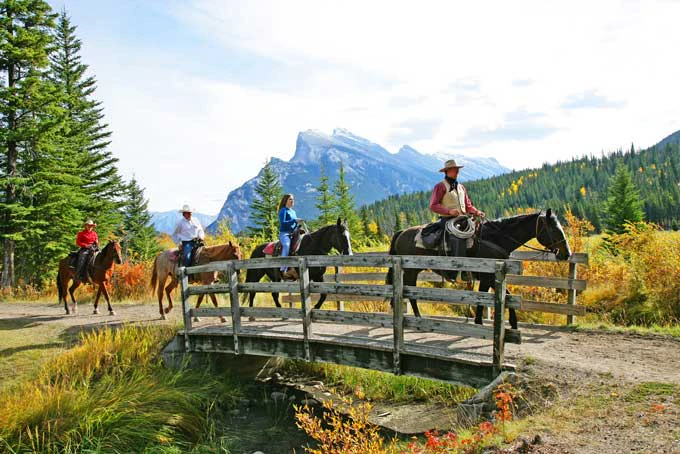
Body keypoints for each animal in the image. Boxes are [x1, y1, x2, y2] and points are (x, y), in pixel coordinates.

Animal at [386, 209, 572, 330]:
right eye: (554, 229)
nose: (567, 254)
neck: (495, 238)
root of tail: (401, 232)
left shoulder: (492, 277)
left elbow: (501, 295)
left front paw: (510, 322)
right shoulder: (486, 277)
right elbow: (488, 297)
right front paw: (482, 322)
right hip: (411, 270)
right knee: (409, 291)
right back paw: (417, 318)